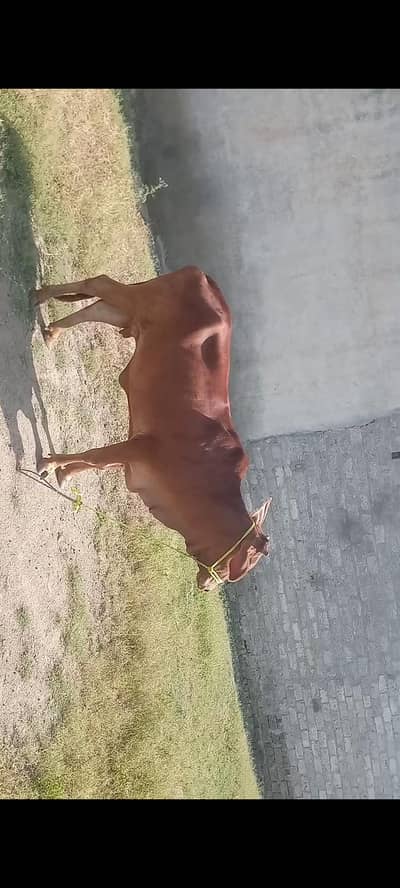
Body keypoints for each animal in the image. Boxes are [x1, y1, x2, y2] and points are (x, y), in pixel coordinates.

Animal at [31, 266, 271, 591]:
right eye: (246, 564)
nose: (210, 586)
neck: (207, 483)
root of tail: (203, 276)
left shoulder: (134, 452)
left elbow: (98, 464)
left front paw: (64, 474)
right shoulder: (142, 447)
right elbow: (94, 456)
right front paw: (49, 463)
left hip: (128, 315)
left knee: (96, 306)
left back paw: (51, 332)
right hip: (136, 301)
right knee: (99, 284)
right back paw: (40, 296)